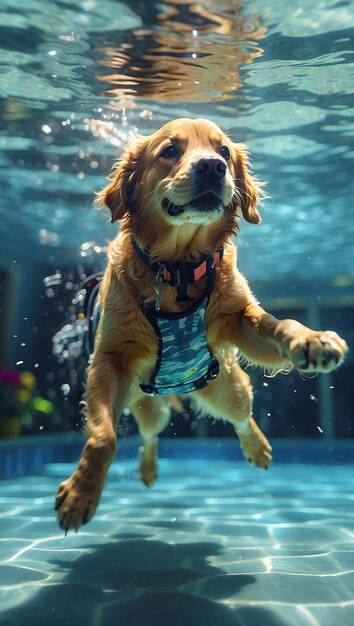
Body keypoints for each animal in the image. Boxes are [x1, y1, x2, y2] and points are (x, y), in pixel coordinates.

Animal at [54, 118, 346, 532]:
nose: (212, 167)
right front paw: (81, 493)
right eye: (169, 150)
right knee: (150, 435)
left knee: (242, 417)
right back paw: (148, 468)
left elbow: (279, 324)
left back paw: (257, 448)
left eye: (223, 151)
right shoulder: (107, 360)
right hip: (146, 405)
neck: (177, 269)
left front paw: (313, 339)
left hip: (229, 390)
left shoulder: (241, 321)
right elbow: (102, 436)